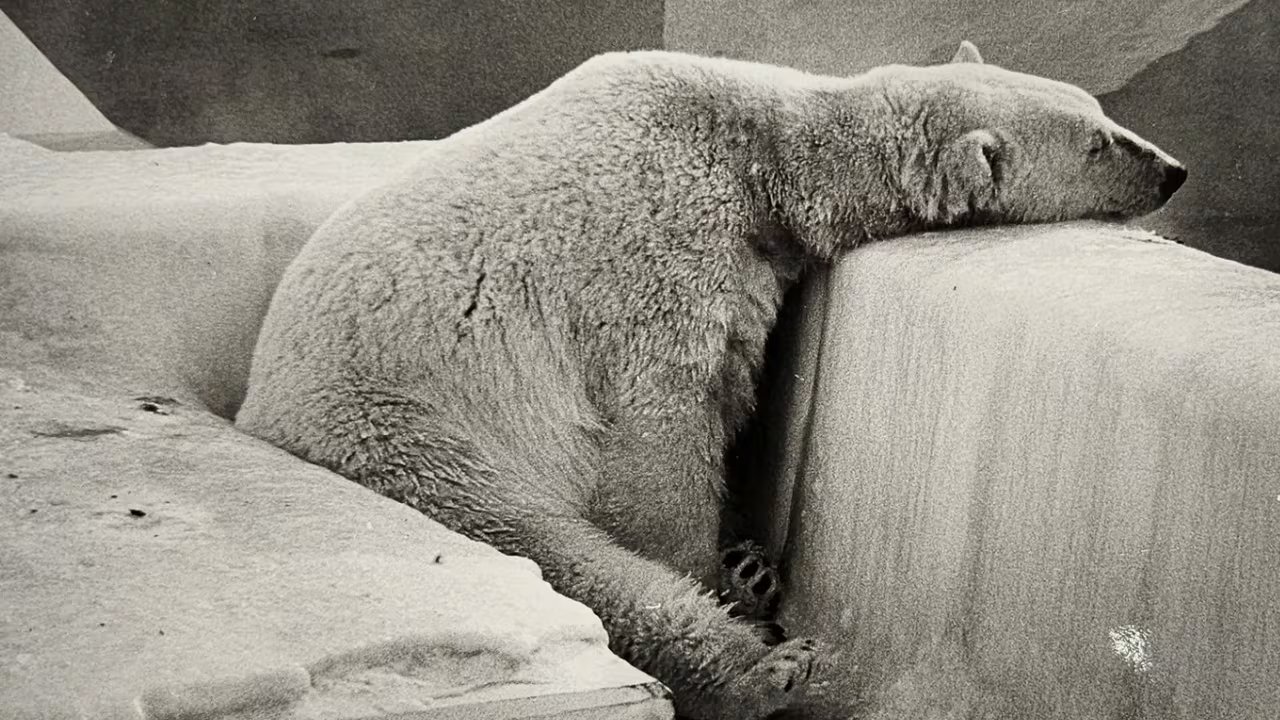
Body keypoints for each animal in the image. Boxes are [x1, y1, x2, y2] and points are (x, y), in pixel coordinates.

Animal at [236, 41, 1185, 720]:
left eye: (1102, 111)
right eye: (1100, 141)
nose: (1175, 169)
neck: (762, 149)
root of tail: (258, 412)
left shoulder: (748, 261)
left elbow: (730, 395)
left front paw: (743, 556)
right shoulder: (658, 248)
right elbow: (659, 434)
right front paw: (716, 566)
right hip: (409, 426)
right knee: (555, 550)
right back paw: (766, 670)